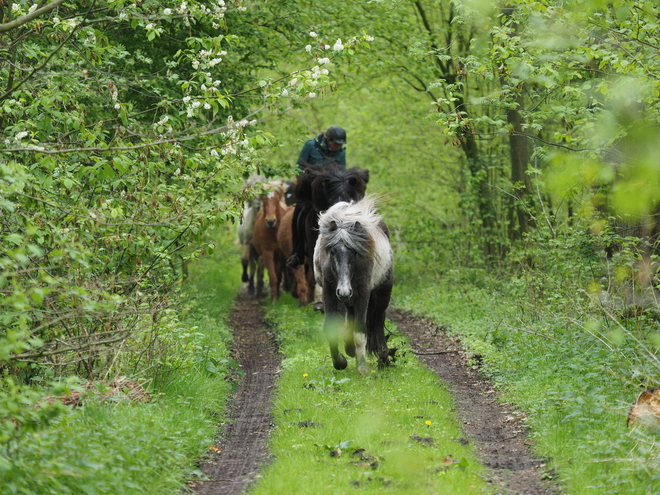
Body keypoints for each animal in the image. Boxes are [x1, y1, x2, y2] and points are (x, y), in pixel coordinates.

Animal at [314, 198, 392, 376]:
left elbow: (360, 331)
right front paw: (340, 362)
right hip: (349, 298)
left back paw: (383, 359)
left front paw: (362, 368)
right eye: (332, 252)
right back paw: (350, 349)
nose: (344, 291)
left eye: (355, 252)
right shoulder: (329, 290)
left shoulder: (363, 292)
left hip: (382, 293)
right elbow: (330, 328)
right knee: (352, 316)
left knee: (377, 320)